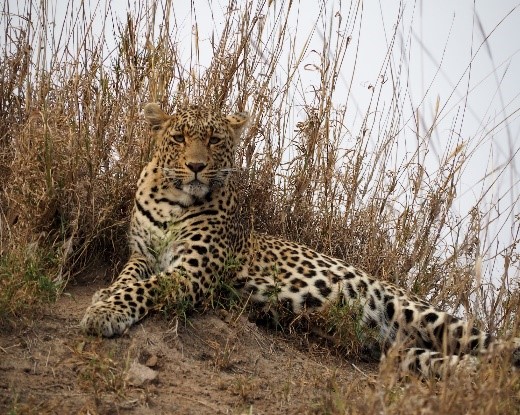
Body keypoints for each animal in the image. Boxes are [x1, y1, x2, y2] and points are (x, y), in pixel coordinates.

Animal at [81, 102, 520, 378]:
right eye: (179, 137)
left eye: (215, 140)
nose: (196, 166)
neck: (171, 200)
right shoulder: (141, 254)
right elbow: (129, 279)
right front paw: (105, 298)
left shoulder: (192, 272)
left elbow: (147, 288)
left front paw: (105, 311)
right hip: (401, 352)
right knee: (449, 362)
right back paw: (470, 372)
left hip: (426, 315)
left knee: (497, 345)